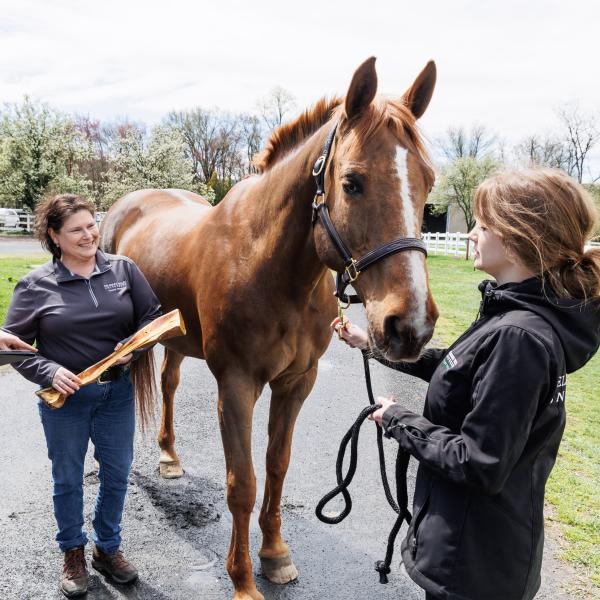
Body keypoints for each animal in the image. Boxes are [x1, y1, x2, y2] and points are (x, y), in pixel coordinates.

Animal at [102, 57, 440, 600]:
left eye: (428, 181)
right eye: (352, 182)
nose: (409, 326)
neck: (268, 265)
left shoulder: (296, 382)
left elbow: (277, 468)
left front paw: (276, 555)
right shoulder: (237, 386)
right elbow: (243, 482)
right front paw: (242, 579)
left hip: (176, 338)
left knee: (170, 384)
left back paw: (170, 455)